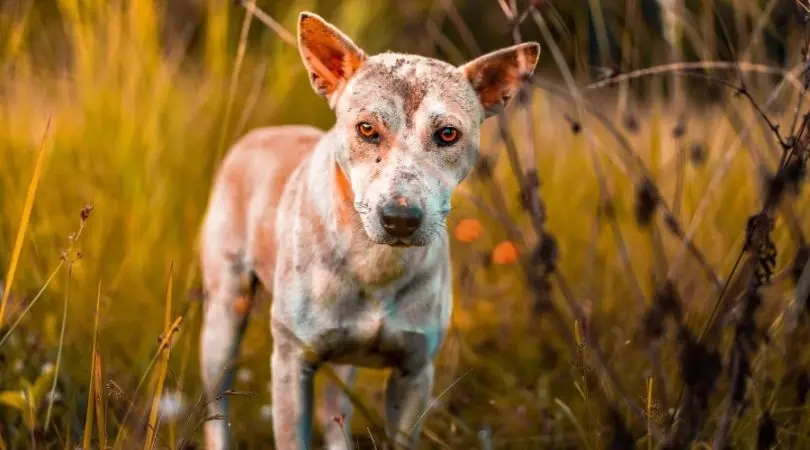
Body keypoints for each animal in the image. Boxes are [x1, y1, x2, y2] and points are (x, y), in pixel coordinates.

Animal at [197, 10, 536, 450]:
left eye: (448, 134)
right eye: (367, 129)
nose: (400, 218)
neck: (373, 261)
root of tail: (260, 134)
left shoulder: (415, 371)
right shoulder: (291, 362)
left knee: (334, 407)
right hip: (224, 315)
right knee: (218, 398)